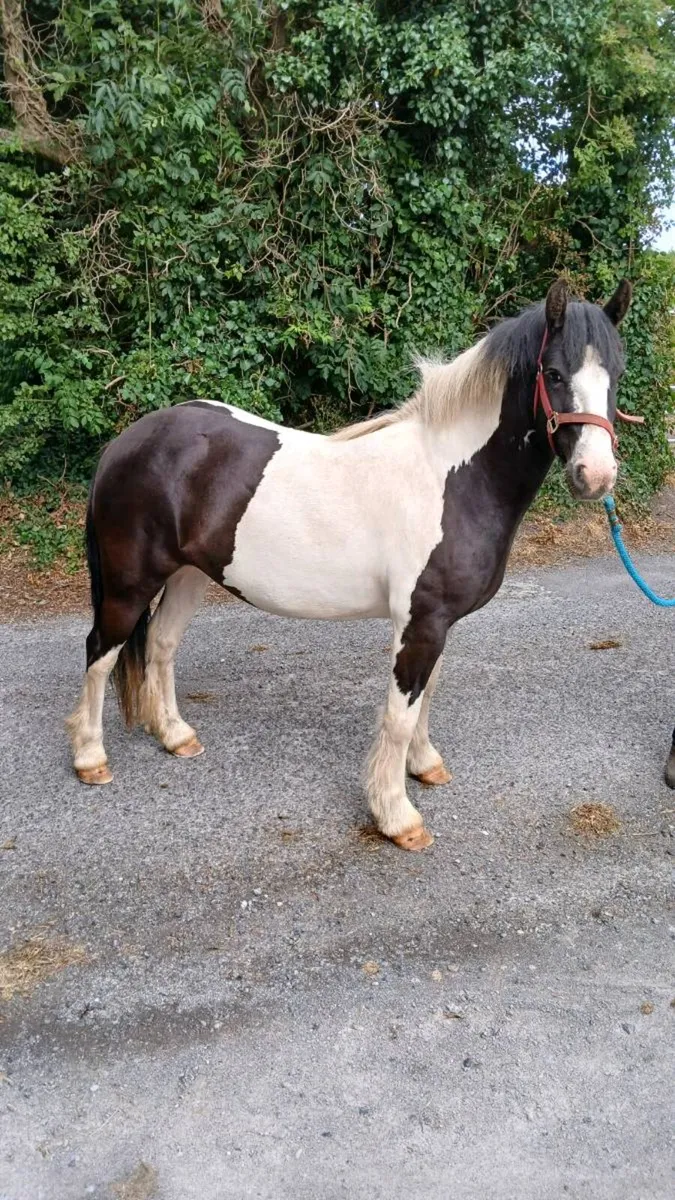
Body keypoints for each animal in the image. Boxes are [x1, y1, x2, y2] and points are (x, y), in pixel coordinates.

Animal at [66, 278, 631, 850]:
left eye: (617, 373)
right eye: (554, 373)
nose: (596, 476)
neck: (453, 478)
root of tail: (126, 441)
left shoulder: (438, 622)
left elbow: (426, 698)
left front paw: (424, 767)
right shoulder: (420, 623)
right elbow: (400, 715)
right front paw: (397, 816)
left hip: (187, 575)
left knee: (160, 645)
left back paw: (176, 736)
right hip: (129, 585)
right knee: (101, 653)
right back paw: (90, 759)